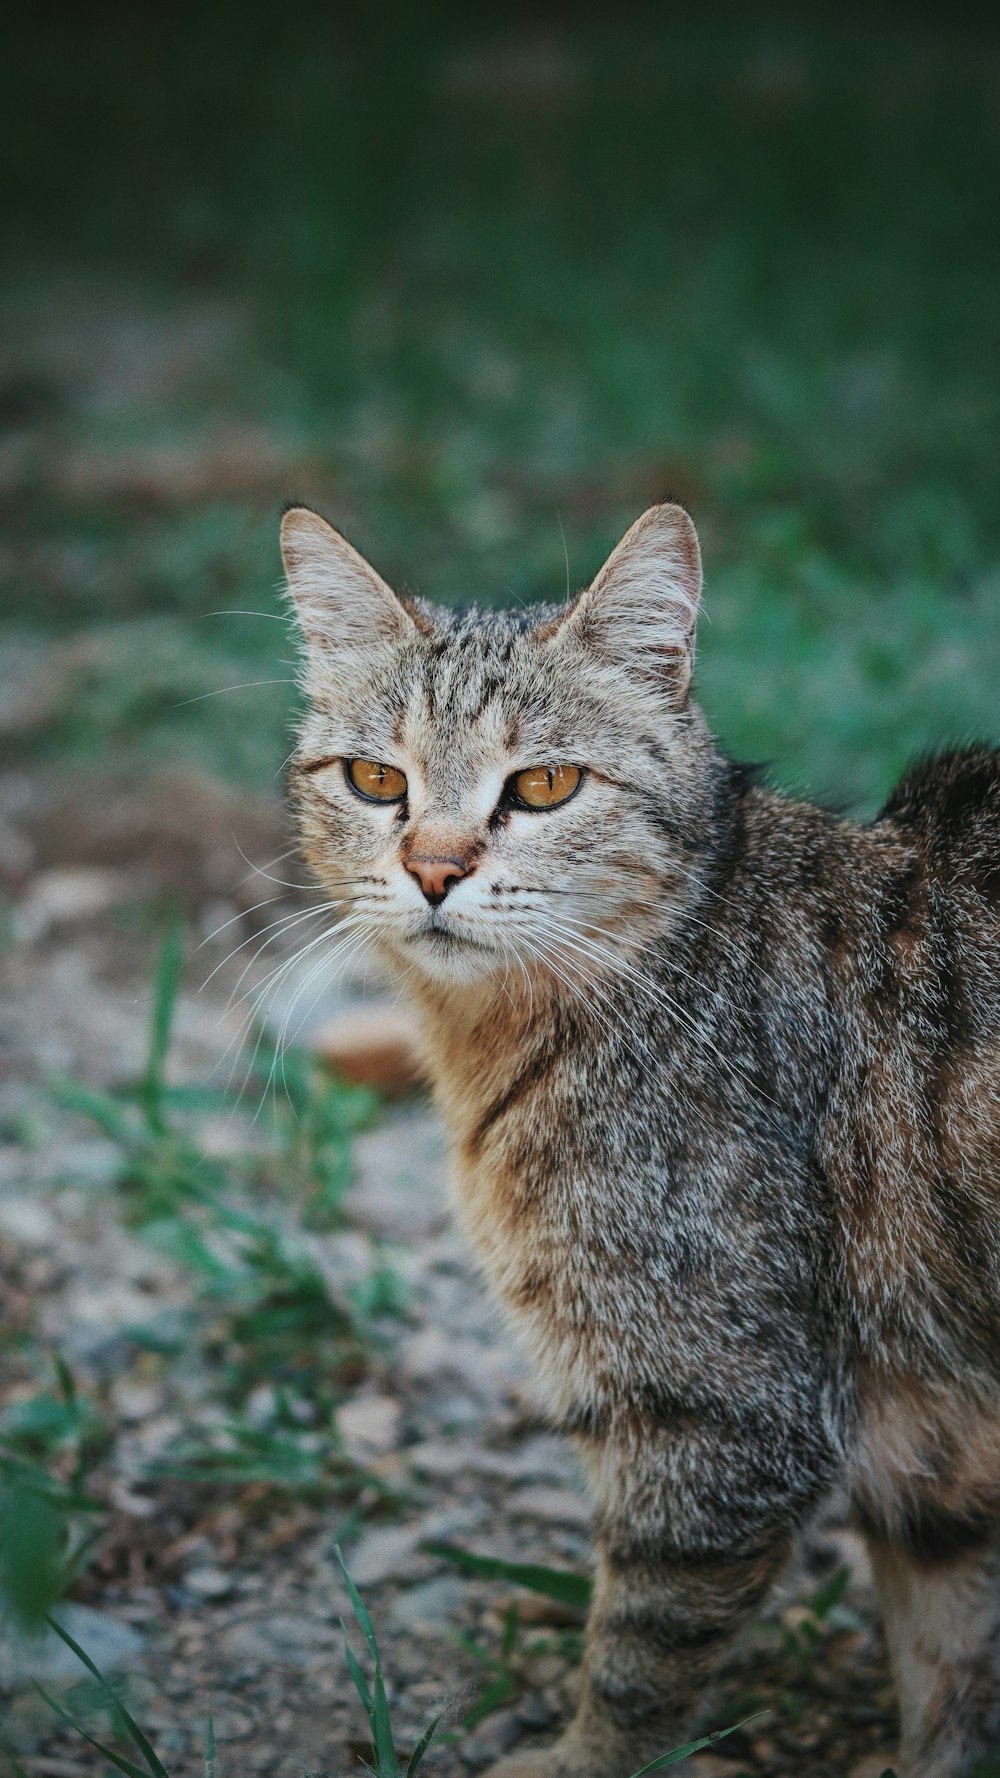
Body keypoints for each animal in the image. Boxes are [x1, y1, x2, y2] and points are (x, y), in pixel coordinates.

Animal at [274, 501, 996, 1778]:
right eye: (374, 778)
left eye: (545, 783)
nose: (433, 866)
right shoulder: (933, 1456)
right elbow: (950, 1659)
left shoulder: (723, 1411)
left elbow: (642, 1652)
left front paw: (580, 1755)